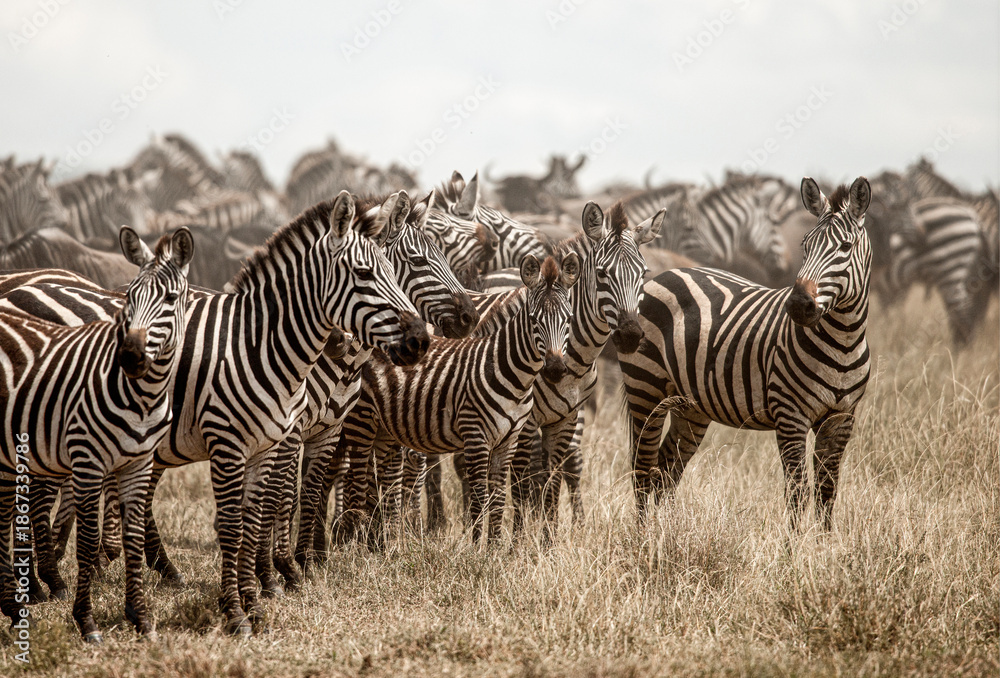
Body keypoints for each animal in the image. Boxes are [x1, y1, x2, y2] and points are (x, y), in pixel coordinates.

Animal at [337, 253, 580, 545]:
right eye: (534, 320)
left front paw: (496, 546)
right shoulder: (475, 436)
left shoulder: (508, 440)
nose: (555, 369)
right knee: (356, 482)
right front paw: (475, 547)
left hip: (383, 428)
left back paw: (378, 544)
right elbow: (479, 498)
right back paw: (353, 544)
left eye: (568, 319)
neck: (511, 372)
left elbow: (498, 497)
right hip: (360, 421)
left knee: (380, 483)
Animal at [619, 176, 872, 531]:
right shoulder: (790, 415)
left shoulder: (842, 418)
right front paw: (796, 545)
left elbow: (827, 491)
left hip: (690, 406)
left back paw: (667, 531)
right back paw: (644, 535)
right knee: (643, 469)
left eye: (846, 248)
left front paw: (825, 542)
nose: (798, 306)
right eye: (805, 245)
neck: (843, 340)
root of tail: (667, 273)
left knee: (666, 470)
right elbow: (797, 492)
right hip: (645, 388)